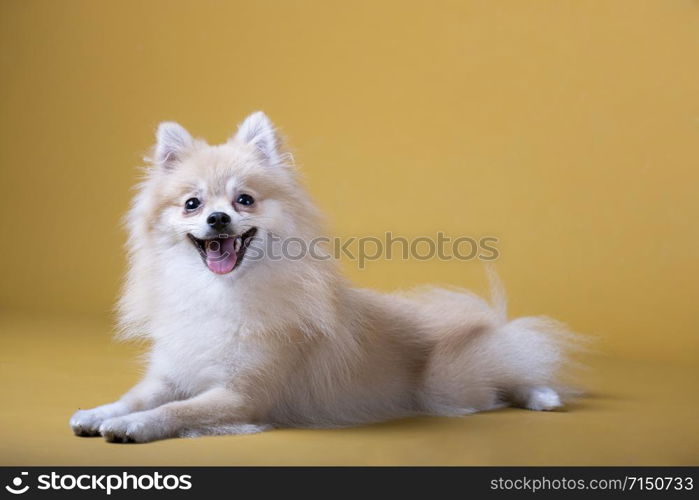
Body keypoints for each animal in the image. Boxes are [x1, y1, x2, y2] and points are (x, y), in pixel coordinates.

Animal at [69, 112, 580, 442]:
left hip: (450, 380)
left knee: (509, 369)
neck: (220, 292)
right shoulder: (172, 372)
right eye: (192, 204)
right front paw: (100, 412)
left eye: (244, 200)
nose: (217, 218)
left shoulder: (243, 393)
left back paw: (542, 395)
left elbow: (176, 409)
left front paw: (133, 427)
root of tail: (475, 322)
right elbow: (137, 396)